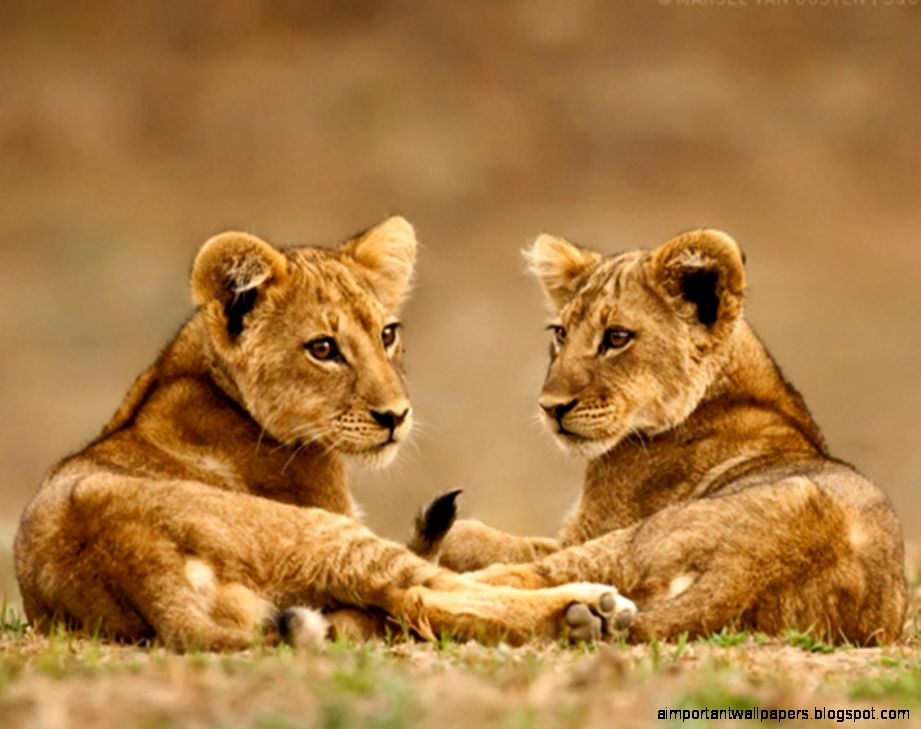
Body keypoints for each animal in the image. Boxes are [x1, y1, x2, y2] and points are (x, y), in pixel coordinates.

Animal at [13, 216, 636, 650]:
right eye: (322, 348)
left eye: (387, 334)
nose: (395, 416)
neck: (203, 375)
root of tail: (133, 558)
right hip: (318, 533)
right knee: (421, 590)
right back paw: (586, 610)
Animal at [415, 229, 907, 644]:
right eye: (560, 333)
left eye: (616, 337)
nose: (550, 407)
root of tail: (751, 568)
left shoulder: (591, 528)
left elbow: (491, 542)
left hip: (633, 541)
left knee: (520, 580)